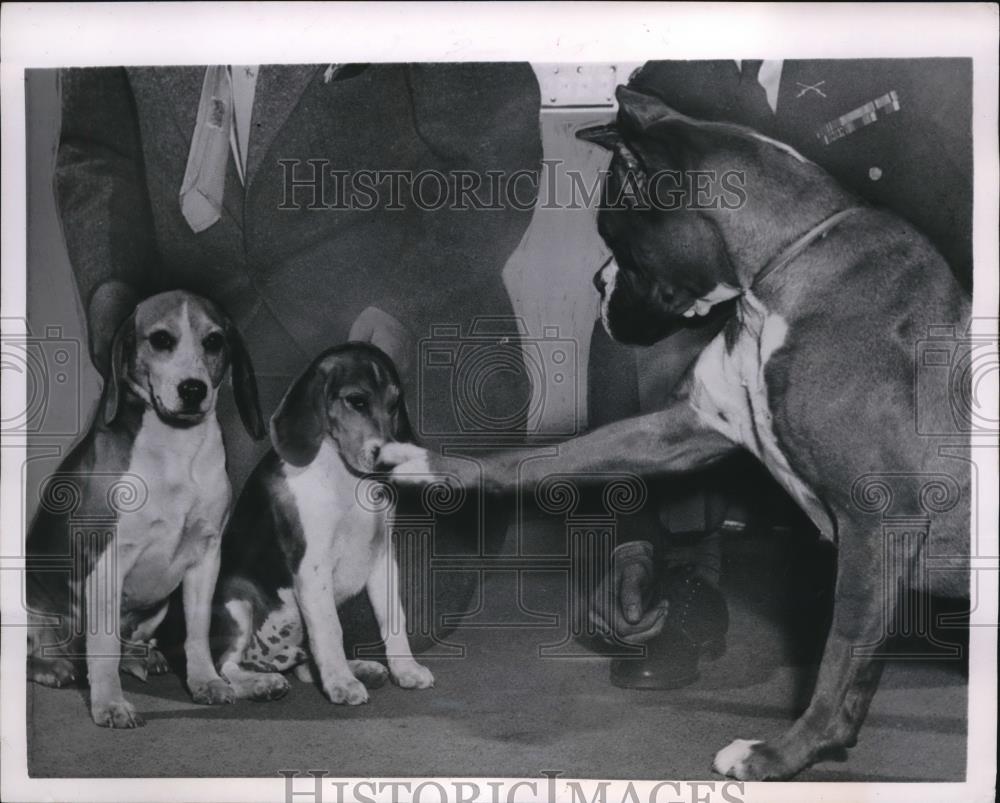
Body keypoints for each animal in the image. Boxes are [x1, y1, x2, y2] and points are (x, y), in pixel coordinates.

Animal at [26, 290, 266, 728]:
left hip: (159, 604)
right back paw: (55, 668)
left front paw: (205, 682)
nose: (193, 389)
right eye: (160, 339)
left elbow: (197, 632)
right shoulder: (106, 558)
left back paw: (143, 658)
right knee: (36, 656)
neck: (176, 448)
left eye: (214, 341)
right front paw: (109, 704)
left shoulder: (205, 557)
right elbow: (103, 648)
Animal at [209, 342, 432, 708]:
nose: (387, 461)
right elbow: (331, 629)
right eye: (356, 401)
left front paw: (406, 670)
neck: (344, 475)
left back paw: (359, 668)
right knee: (224, 669)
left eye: (394, 404)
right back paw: (263, 684)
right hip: (234, 600)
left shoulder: (383, 558)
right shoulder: (312, 565)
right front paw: (341, 683)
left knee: (303, 666)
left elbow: (393, 619)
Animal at [380, 86, 968, 780]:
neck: (784, 267)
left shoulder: (877, 521)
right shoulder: (686, 430)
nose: (597, 280)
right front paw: (429, 465)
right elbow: (545, 458)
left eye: (614, 230)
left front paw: (785, 752)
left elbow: (841, 651)